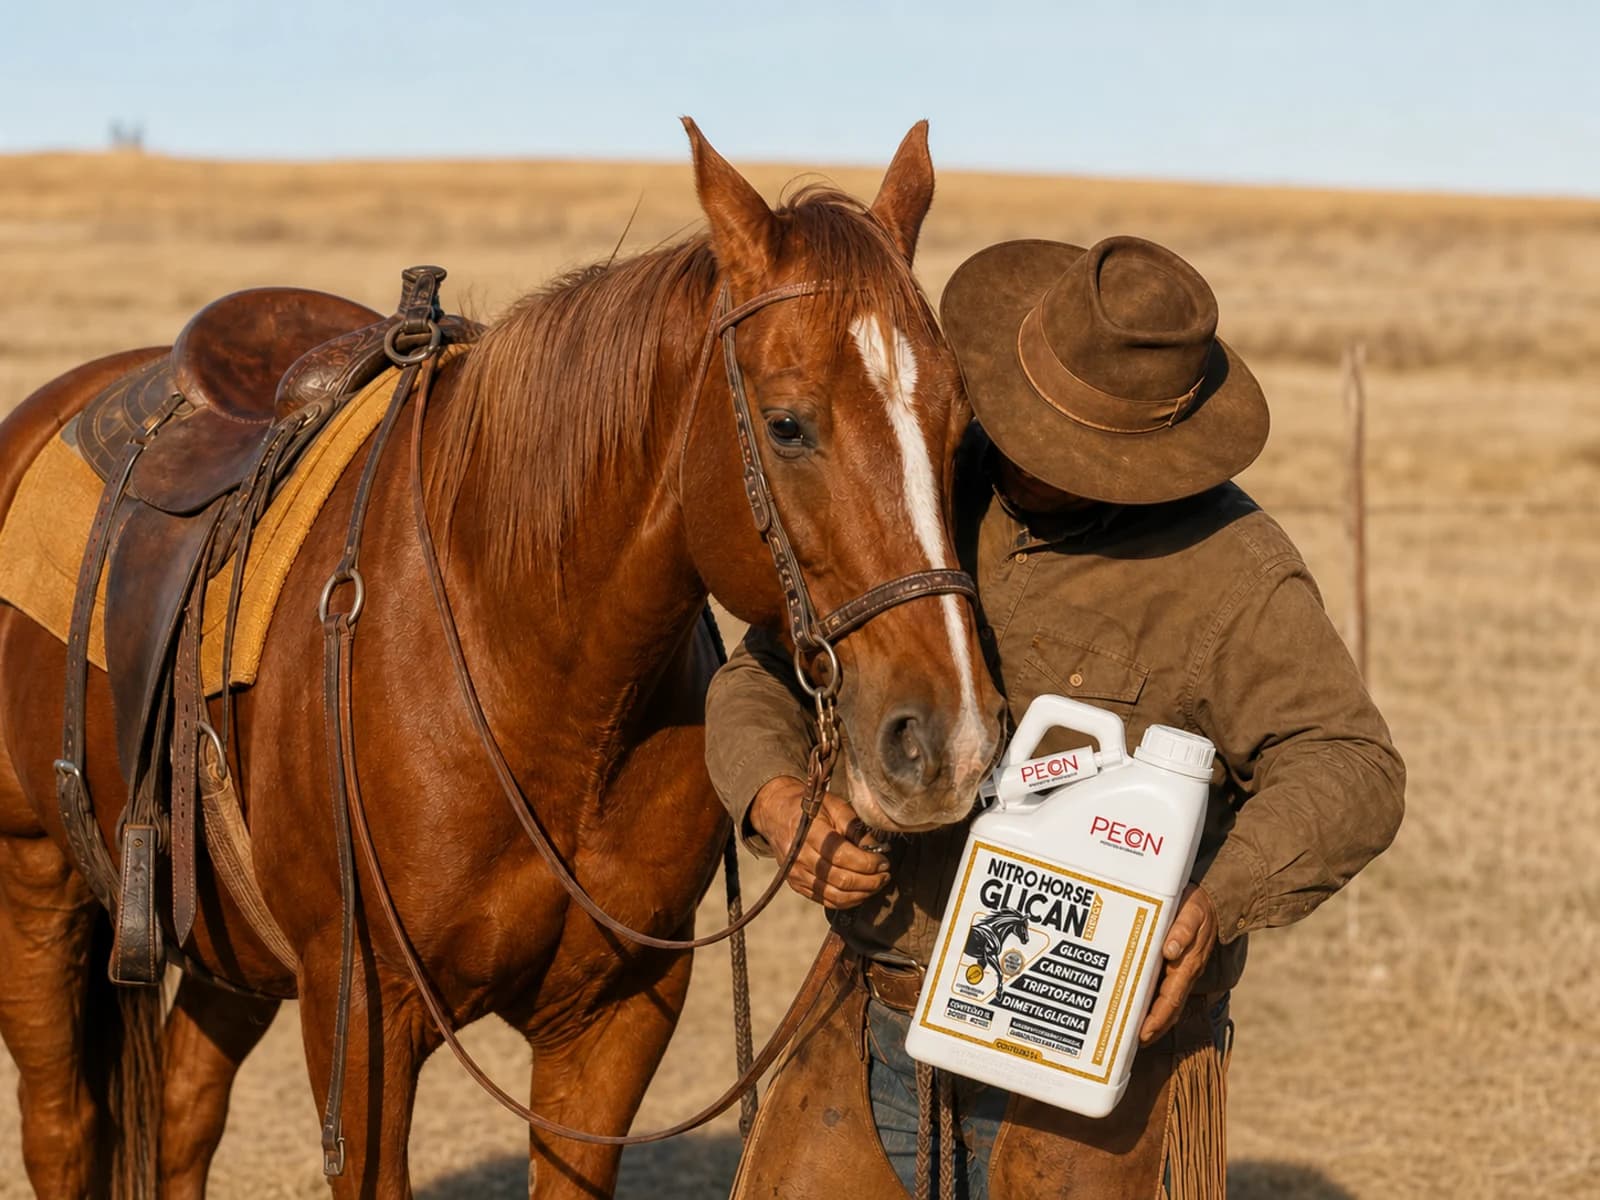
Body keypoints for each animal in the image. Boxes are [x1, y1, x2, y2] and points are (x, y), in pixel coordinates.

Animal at [0, 120, 1004, 1197]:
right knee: (63, 1130)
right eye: (787, 424)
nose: (948, 741)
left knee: (186, 1112)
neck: (533, 676)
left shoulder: (615, 1019)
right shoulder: (363, 1018)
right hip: (37, 883)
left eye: (958, 428)